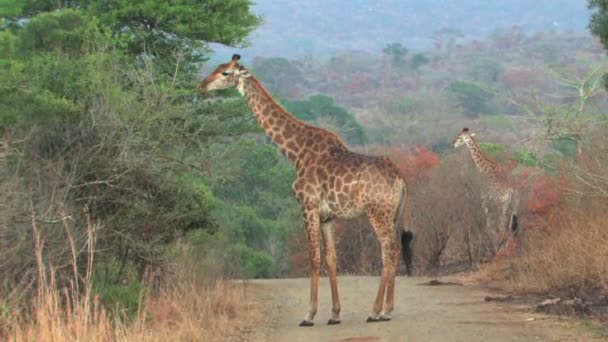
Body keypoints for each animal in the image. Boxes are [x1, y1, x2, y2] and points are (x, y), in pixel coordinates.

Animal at [197, 54, 416, 326]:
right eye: (218, 68)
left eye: (225, 72)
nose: (201, 86)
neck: (297, 153)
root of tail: (400, 177)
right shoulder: (327, 217)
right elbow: (331, 259)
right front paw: (334, 314)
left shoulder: (307, 207)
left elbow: (314, 258)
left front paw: (309, 315)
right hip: (393, 214)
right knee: (393, 250)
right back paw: (386, 309)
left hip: (378, 212)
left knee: (389, 251)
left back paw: (377, 311)